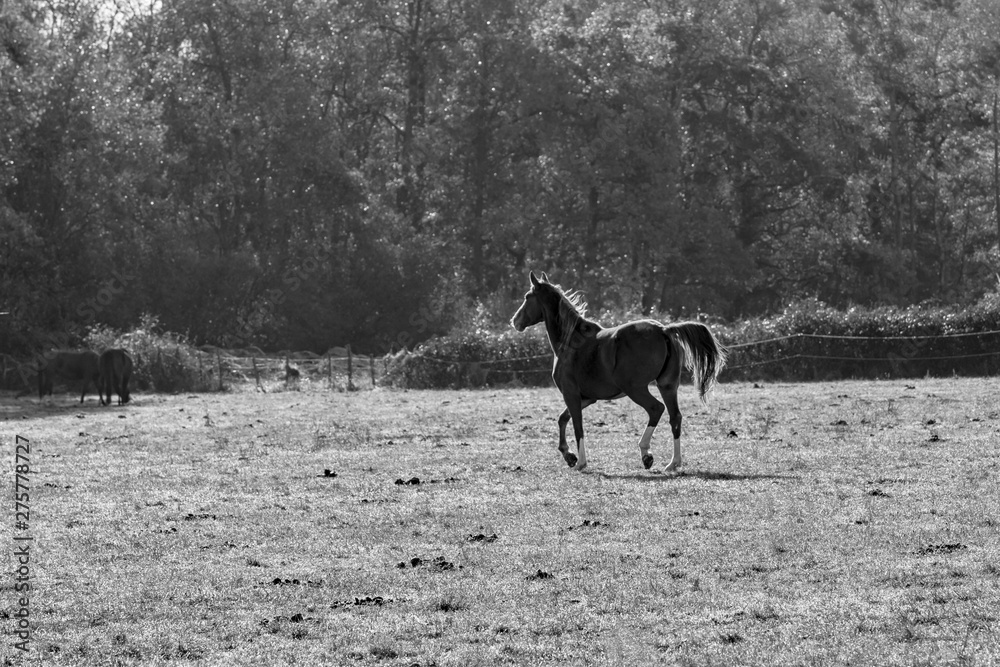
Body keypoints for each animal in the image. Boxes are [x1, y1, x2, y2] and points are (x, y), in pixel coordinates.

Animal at [510, 271, 727, 472]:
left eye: (527, 296)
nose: (515, 321)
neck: (571, 342)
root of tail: (664, 330)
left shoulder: (571, 394)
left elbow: (577, 426)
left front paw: (580, 462)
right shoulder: (587, 398)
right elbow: (563, 419)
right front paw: (568, 455)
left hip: (636, 389)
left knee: (656, 409)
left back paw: (646, 453)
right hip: (667, 386)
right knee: (675, 418)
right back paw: (673, 462)